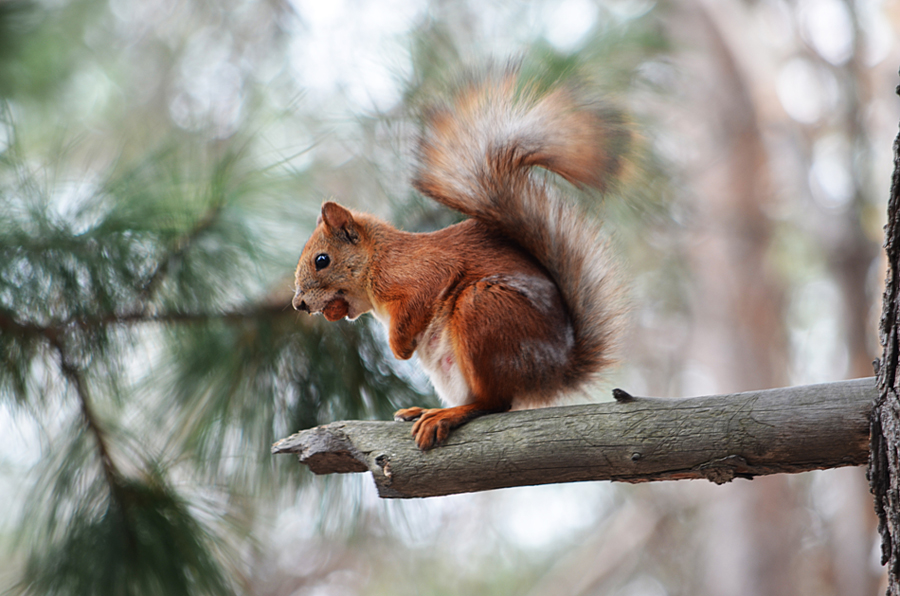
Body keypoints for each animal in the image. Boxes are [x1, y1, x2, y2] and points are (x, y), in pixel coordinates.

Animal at [292, 67, 628, 450]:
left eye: (321, 260)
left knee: (495, 402)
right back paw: (425, 410)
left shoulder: (419, 272)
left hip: (482, 310)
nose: (298, 303)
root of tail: (552, 373)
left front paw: (400, 349)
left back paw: (446, 415)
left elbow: (420, 300)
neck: (376, 260)